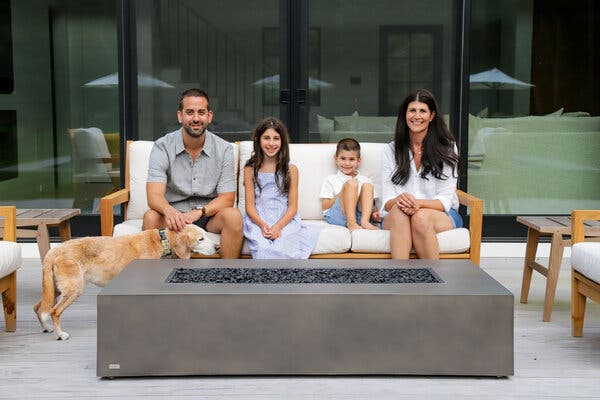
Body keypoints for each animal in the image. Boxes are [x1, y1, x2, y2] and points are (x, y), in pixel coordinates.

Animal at [33, 225, 218, 340]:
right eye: (201, 239)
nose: (217, 247)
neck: (162, 241)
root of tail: (55, 249)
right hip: (73, 288)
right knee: (54, 311)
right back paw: (60, 334)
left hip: (54, 288)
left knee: (38, 307)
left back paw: (46, 327)